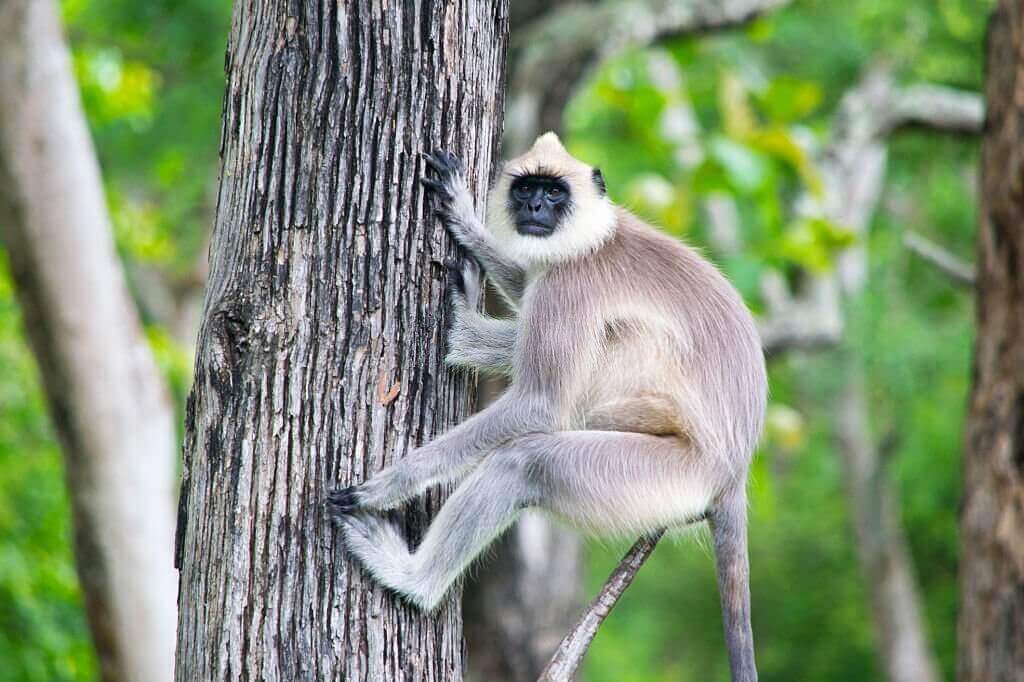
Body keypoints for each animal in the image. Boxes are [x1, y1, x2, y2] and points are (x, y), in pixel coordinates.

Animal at [327, 133, 770, 679]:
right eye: (526, 189)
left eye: (554, 193)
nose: (535, 207)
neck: (596, 241)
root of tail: (733, 474)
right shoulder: (552, 267)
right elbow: (527, 277)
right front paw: (465, 217)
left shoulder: (571, 284)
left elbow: (540, 405)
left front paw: (390, 485)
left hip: (664, 476)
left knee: (526, 458)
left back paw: (412, 579)